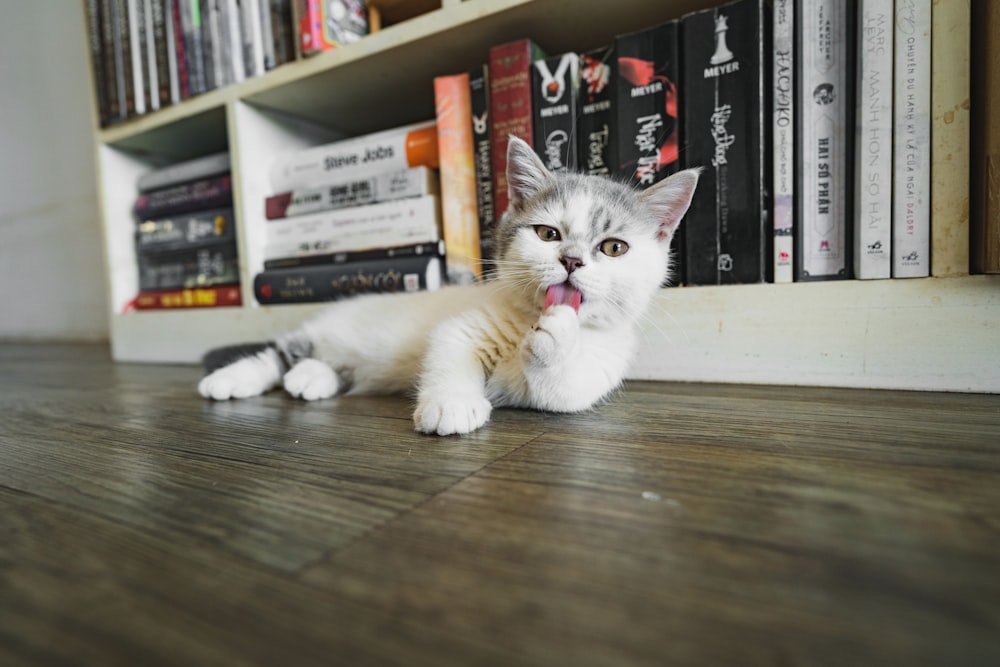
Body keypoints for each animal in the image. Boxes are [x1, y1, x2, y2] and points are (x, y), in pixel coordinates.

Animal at [199, 137, 700, 438]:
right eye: (548, 234)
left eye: (613, 248)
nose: (572, 260)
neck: (524, 320)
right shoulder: (462, 326)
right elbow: (449, 351)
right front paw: (451, 405)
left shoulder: (588, 375)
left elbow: (559, 391)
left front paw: (556, 338)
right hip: (328, 329)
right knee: (278, 352)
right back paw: (228, 380)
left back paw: (310, 378)